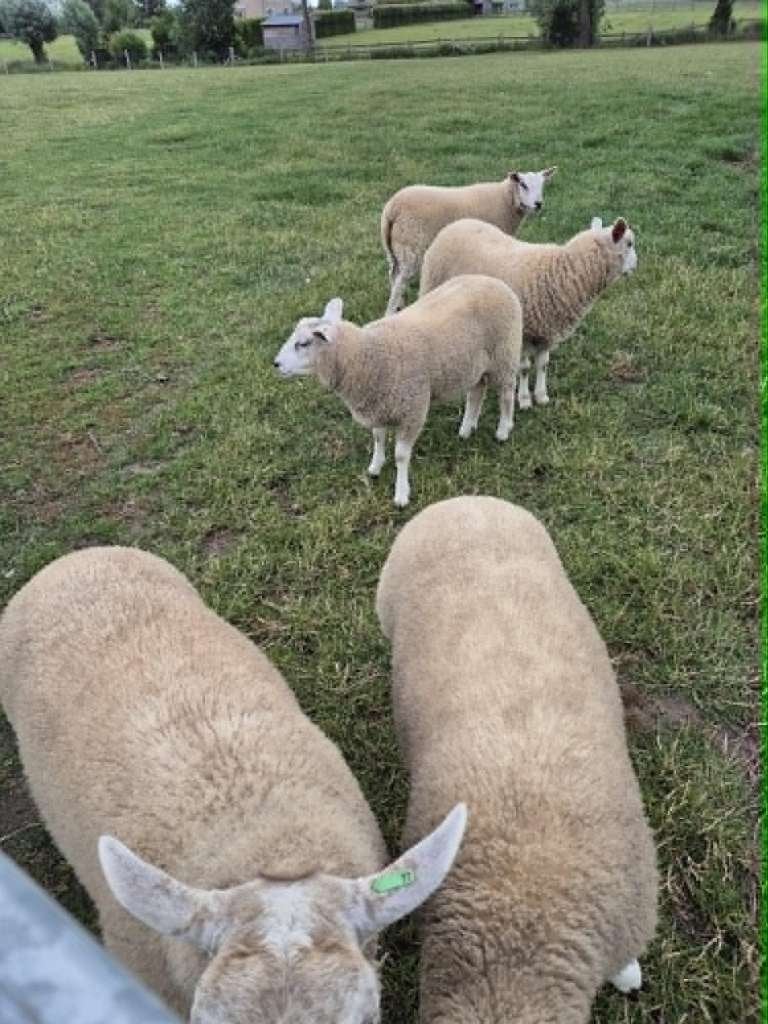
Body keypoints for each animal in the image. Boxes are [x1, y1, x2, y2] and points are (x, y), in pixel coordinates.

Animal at [273, 276, 523, 508]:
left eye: (303, 344)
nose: (275, 364)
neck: (365, 356)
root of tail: (495, 281)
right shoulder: (379, 405)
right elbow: (378, 438)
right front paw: (375, 467)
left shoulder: (412, 410)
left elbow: (401, 456)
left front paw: (401, 494)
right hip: (476, 365)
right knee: (476, 393)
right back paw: (466, 428)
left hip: (504, 354)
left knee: (507, 393)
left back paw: (503, 430)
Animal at [381, 167, 557, 316]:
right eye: (523, 184)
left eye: (542, 185)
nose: (538, 204)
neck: (505, 200)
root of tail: (392, 209)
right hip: (412, 247)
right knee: (400, 281)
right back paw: (391, 312)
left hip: (394, 249)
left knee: (393, 275)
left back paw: (399, 306)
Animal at [420, 215, 637, 409]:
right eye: (629, 244)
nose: (636, 265)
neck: (561, 272)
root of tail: (457, 223)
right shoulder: (523, 331)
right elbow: (524, 368)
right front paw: (524, 399)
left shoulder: (546, 330)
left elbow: (543, 364)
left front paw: (541, 396)